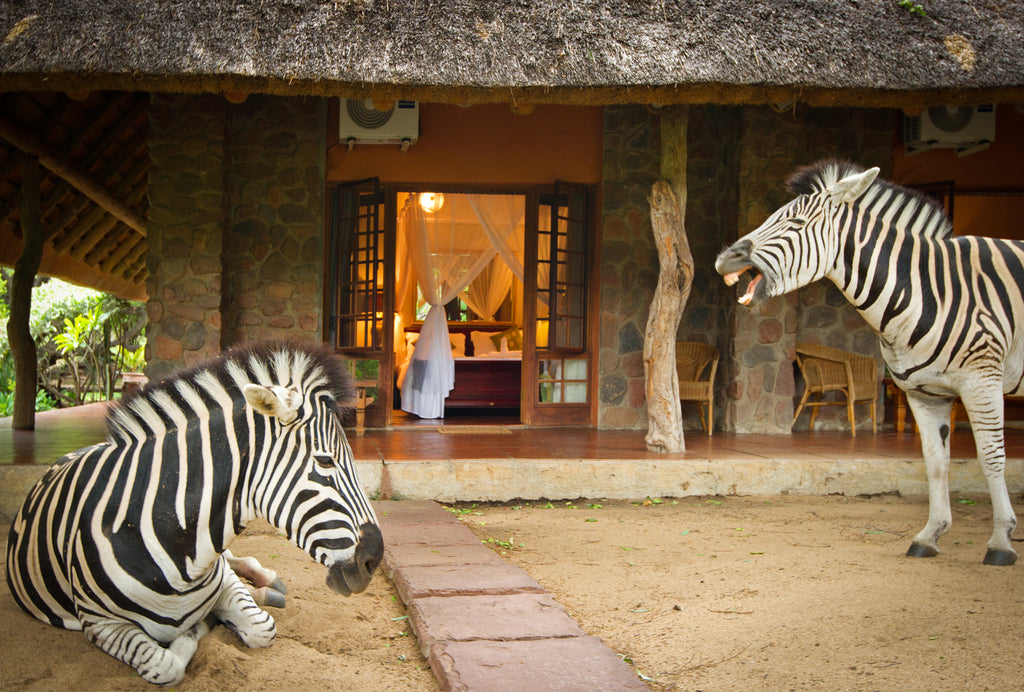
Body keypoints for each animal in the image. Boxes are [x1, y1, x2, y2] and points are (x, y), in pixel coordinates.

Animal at [5, 342, 383, 685]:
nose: (374, 560)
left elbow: (261, 628)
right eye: (325, 461)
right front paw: (201, 626)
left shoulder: (224, 579)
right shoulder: (99, 622)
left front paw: (211, 619)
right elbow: (165, 664)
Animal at [716, 160, 1024, 566]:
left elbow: (991, 457)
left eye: (795, 223)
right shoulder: (925, 393)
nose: (724, 259)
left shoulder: (981, 380)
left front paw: (1001, 541)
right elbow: (935, 462)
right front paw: (930, 535)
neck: (923, 293)